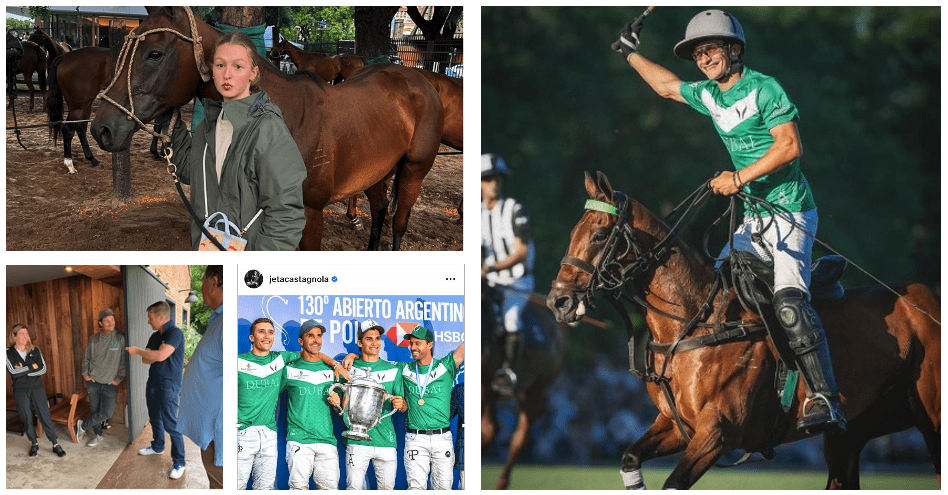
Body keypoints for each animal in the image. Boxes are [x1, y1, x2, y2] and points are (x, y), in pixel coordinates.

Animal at [90, 8, 442, 252]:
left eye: (155, 54)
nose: (102, 129)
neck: (290, 120)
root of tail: (421, 80)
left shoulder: (310, 214)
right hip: (377, 170)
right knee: (380, 211)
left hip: (413, 171)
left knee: (398, 222)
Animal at [548, 172, 940, 490]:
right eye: (571, 233)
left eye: (600, 234)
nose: (558, 301)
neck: (693, 324)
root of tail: (928, 302)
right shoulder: (676, 424)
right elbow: (630, 456)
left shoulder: (718, 431)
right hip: (852, 432)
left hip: (931, 421)